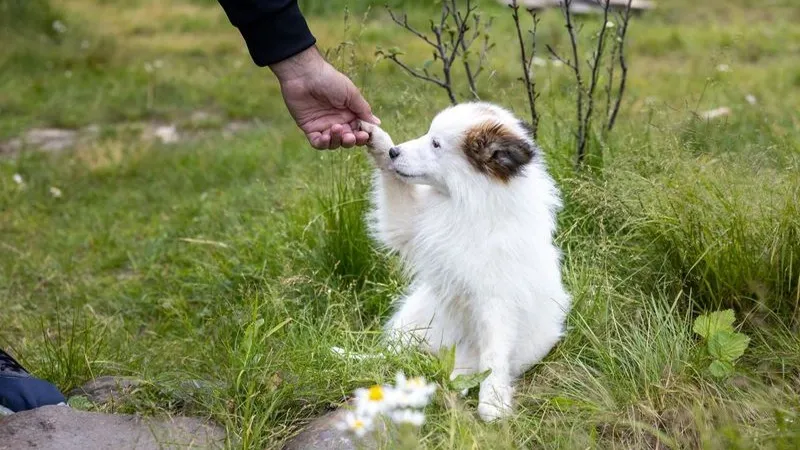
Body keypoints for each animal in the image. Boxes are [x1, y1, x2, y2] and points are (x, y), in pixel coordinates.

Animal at [360, 102, 572, 422]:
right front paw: (377, 140)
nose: (395, 152)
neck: (465, 203)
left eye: (436, 144)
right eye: (428, 135)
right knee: (396, 352)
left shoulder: (497, 302)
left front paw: (492, 403)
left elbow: (494, 355)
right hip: (416, 318)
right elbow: (394, 183)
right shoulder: (409, 222)